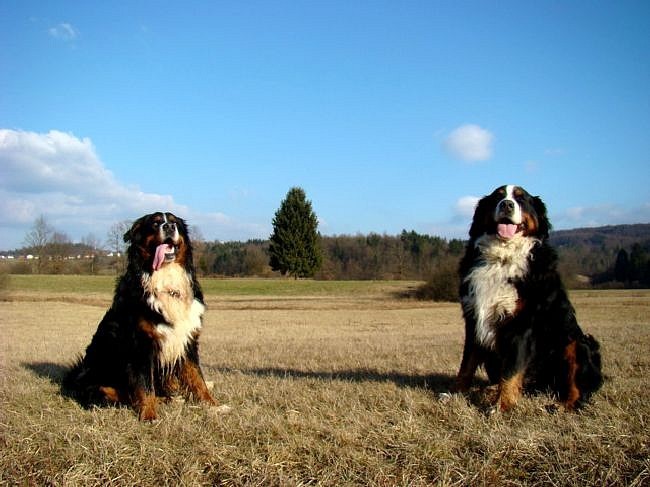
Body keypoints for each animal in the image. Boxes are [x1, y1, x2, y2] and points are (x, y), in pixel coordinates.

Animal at [63, 212, 215, 422]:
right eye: (155, 223)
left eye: (174, 222)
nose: (169, 227)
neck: (165, 280)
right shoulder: (140, 345)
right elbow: (145, 385)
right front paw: (149, 415)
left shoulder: (188, 341)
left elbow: (196, 377)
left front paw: (213, 405)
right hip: (99, 381)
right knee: (119, 395)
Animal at [454, 186, 600, 412]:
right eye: (497, 197)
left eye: (521, 199)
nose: (507, 204)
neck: (502, 258)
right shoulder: (473, 319)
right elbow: (466, 364)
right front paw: (455, 394)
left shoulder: (522, 326)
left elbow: (511, 371)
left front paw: (502, 406)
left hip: (577, 343)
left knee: (578, 391)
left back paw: (560, 406)